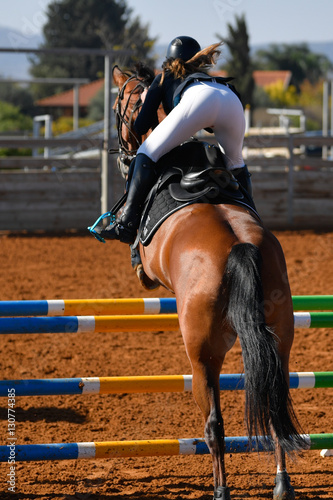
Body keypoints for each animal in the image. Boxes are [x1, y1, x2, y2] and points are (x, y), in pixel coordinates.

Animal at [108, 64, 304, 498]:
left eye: (120, 105)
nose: (123, 153)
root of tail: (239, 247)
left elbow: (137, 259)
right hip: (278, 339)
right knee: (274, 406)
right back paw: (281, 484)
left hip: (202, 357)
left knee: (214, 425)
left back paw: (221, 490)